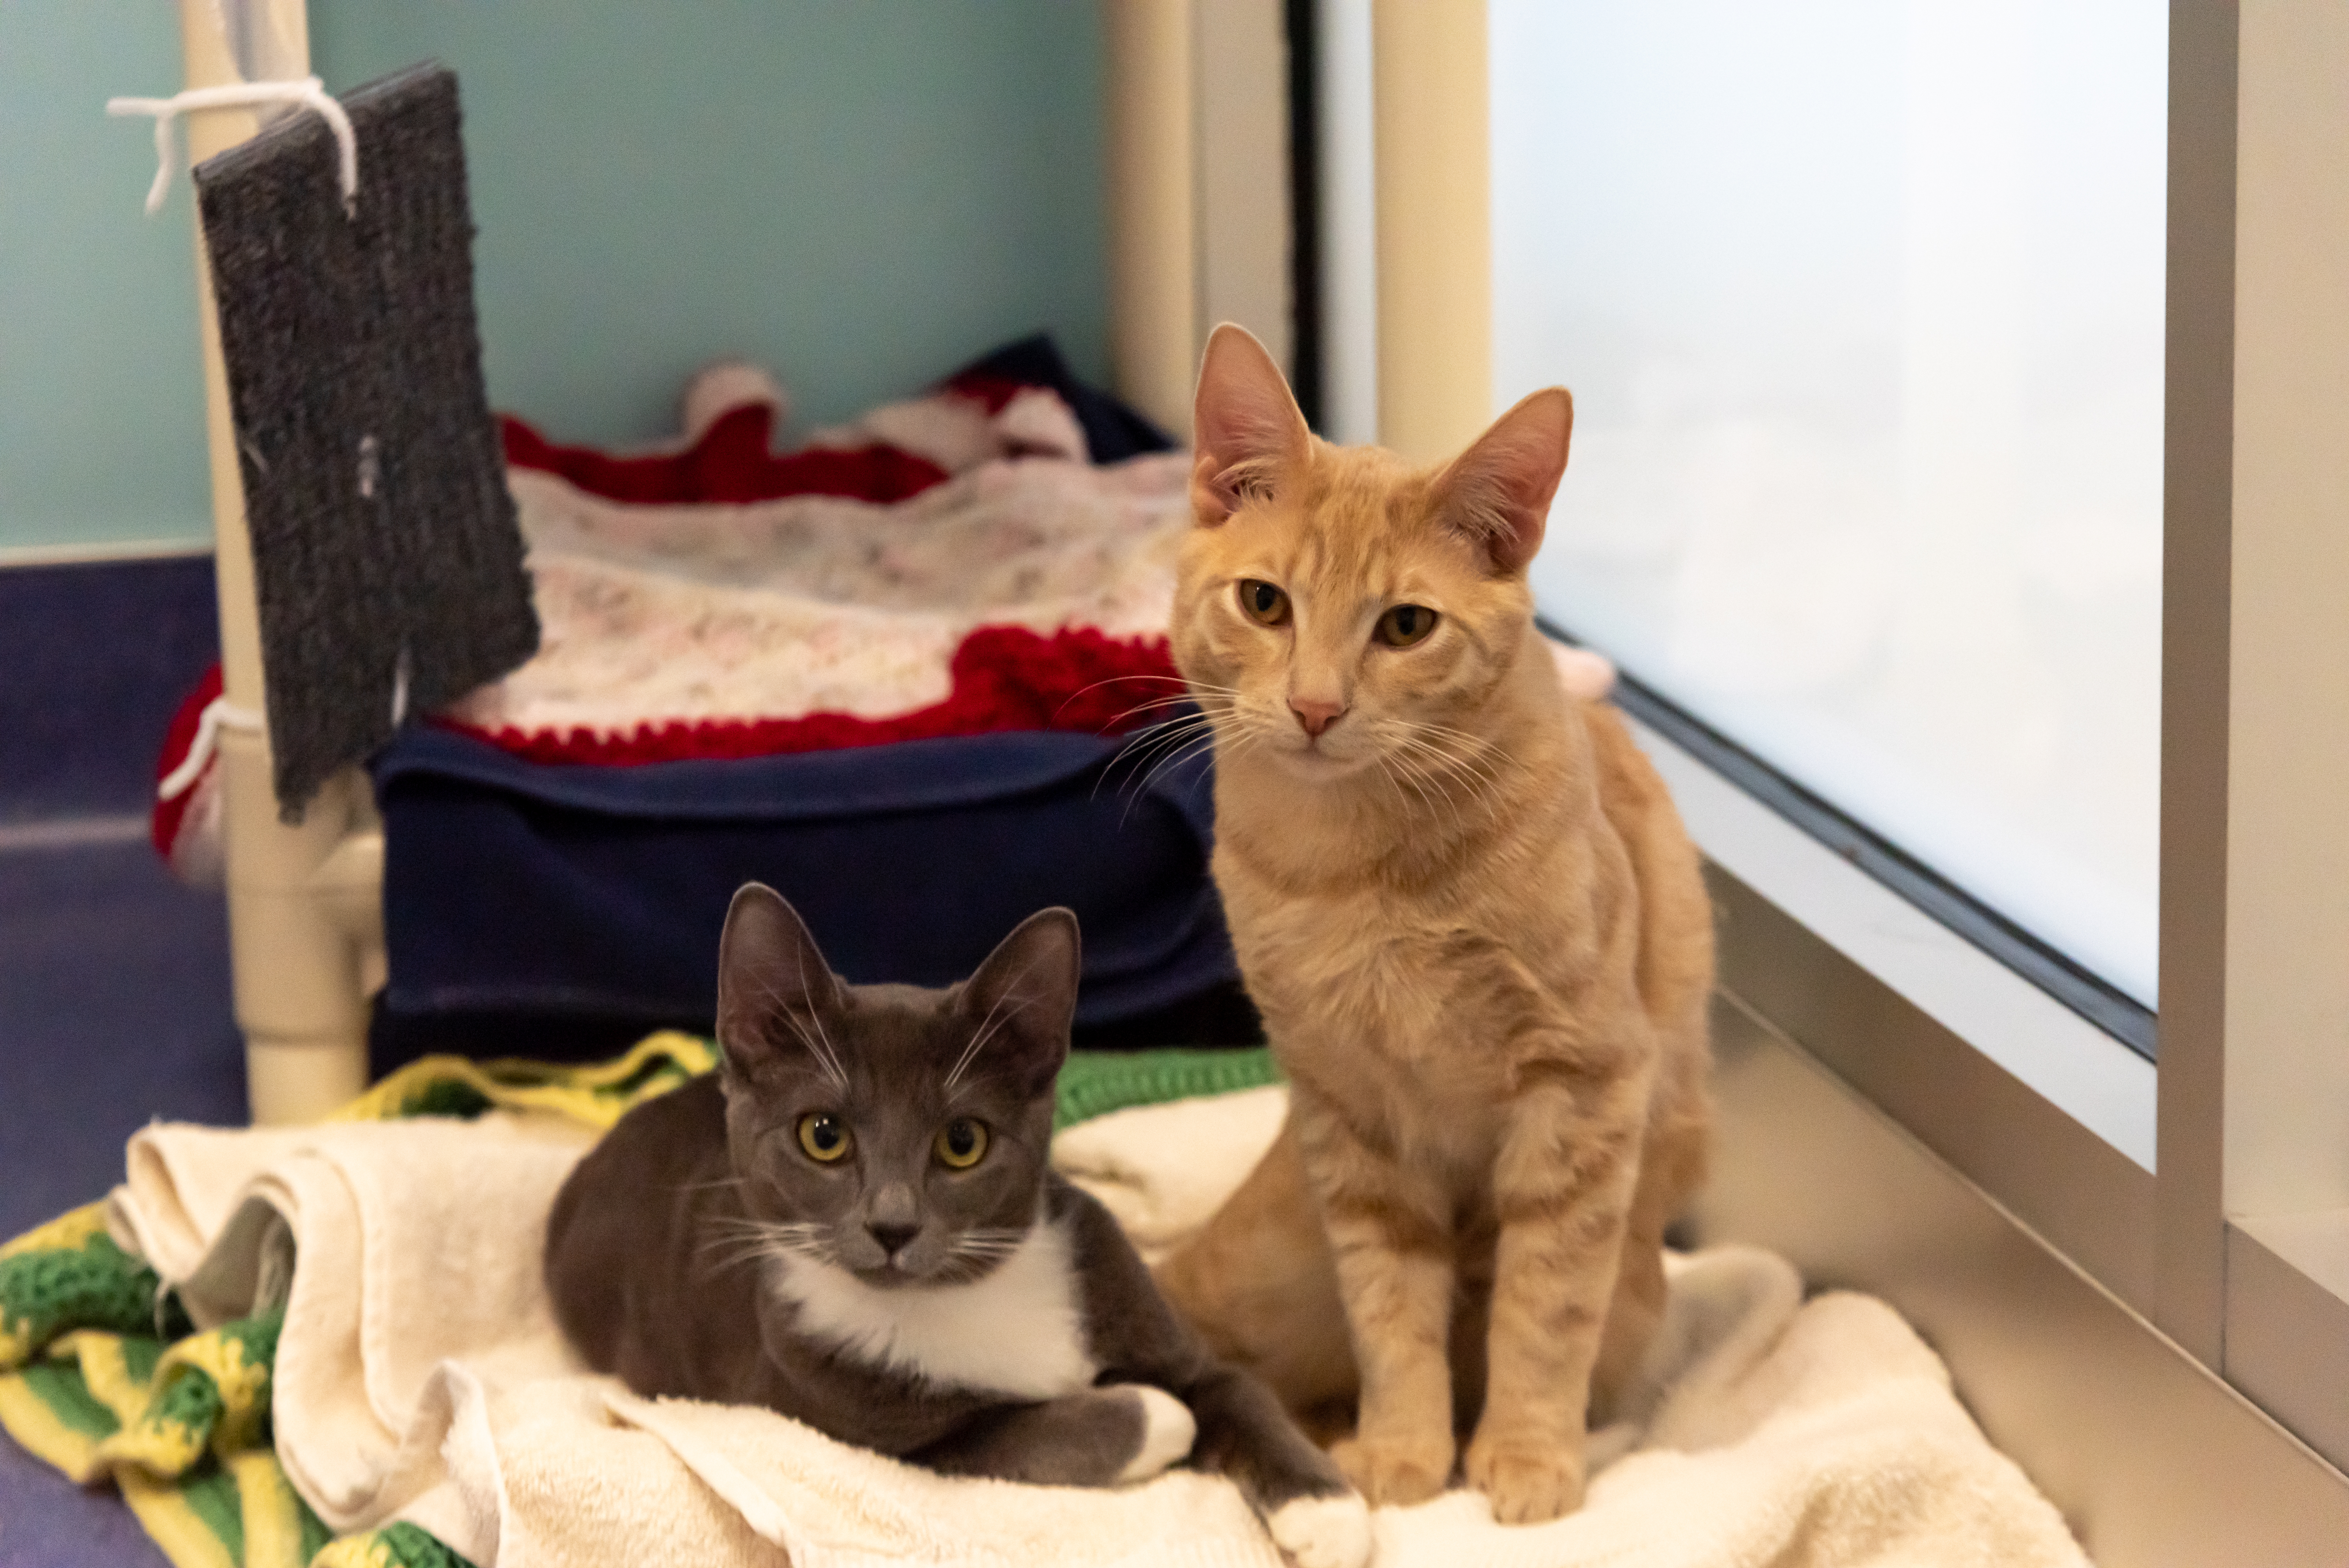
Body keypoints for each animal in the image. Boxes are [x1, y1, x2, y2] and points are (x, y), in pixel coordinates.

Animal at [540, 887, 1372, 1558]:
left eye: (962, 1141)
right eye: (823, 1134)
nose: (892, 1226)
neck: (965, 1290)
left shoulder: (1134, 1295)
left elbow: (1238, 1389)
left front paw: (1328, 1512)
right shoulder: (870, 1432)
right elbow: (1040, 1432)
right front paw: (1160, 1419)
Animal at [1155, 328, 1710, 1521]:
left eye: (1405, 626)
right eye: (1264, 603)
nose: (1316, 708)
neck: (1359, 866)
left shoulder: (1584, 1087)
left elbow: (1545, 1305)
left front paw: (1527, 1458)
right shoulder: (1350, 1112)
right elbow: (1390, 1306)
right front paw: (1405, 1451)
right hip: (1265, 1265)